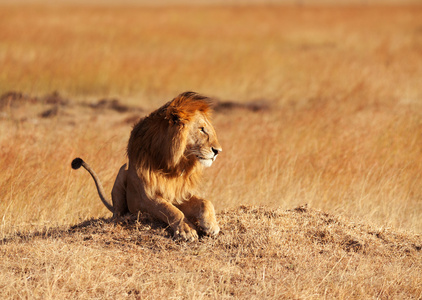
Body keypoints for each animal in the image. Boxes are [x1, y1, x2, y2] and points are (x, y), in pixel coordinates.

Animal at [71, 91, 223, 241]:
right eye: (201, 129)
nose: (218, 151)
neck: (173, 165)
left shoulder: (177, 194)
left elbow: (205, 202)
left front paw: (211, 226)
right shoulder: (146, 196)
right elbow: (170, 210)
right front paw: (186, 230)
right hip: (123, 171)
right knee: (117, 212)